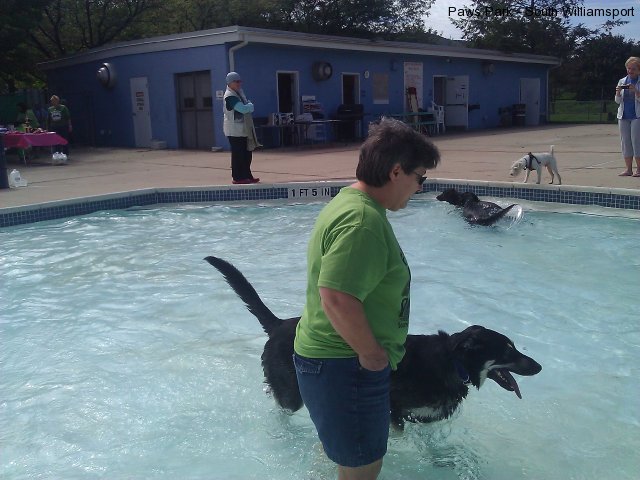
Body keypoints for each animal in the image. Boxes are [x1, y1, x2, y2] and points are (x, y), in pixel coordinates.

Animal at [204, 256, 540, 430]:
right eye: (507, 350)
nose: (538, 367)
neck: (453, 363)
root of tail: (278, 324)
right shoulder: (392, 407)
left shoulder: (423, 418)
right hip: (292, 393)